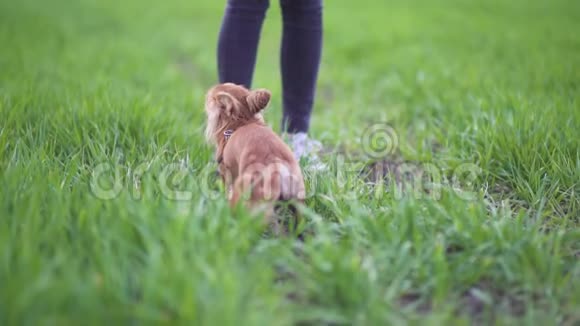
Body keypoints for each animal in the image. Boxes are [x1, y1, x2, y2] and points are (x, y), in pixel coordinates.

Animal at [204, 81, 306, 229]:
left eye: (210, 98)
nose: (209, 90)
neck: (241, 123)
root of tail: (278, 165)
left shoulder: (226, 171)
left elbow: (225, 187)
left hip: (246, 193)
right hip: (298, 203)